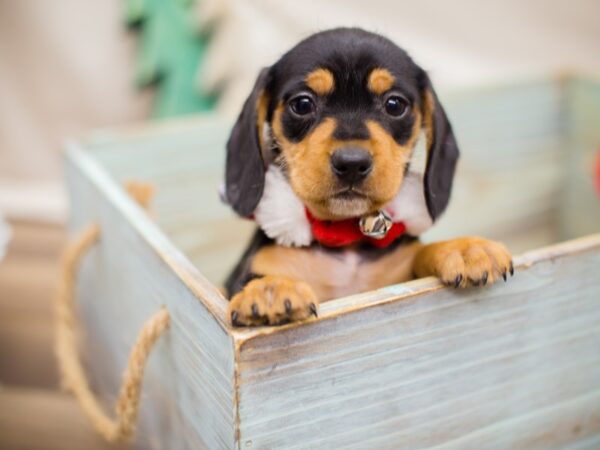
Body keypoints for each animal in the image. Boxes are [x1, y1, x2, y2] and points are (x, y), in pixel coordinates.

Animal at [223, 28, 512, 326]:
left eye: (394, 104)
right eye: (302, 104)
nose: (352, 163)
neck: (344, 238)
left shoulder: (398, 271)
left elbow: (417, 253)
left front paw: (462, 248)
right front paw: (270, 287)